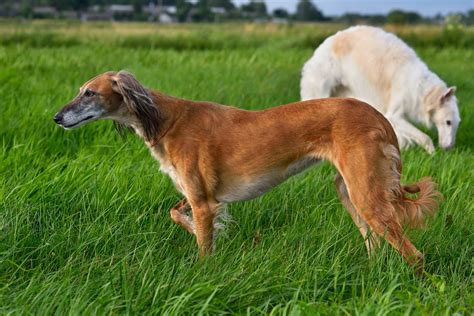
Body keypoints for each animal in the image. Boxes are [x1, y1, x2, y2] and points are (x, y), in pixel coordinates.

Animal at [52, 70, 440, 272]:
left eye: (89, 93)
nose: (56, 117)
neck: (166, 119)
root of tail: (380, 117)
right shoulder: (200, 196)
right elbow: (177, 212)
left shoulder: (203, 201)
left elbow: (202, 242)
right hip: (350, 191)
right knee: (375, 242)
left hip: (365, 193)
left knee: (414, 254)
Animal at [302, 26, 462, 152]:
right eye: (448, 122)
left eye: (457, 123)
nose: (448, 149)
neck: (422, 90)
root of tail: (324, 44)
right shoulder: (394, 114)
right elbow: (425, 137)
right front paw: (433, 154)